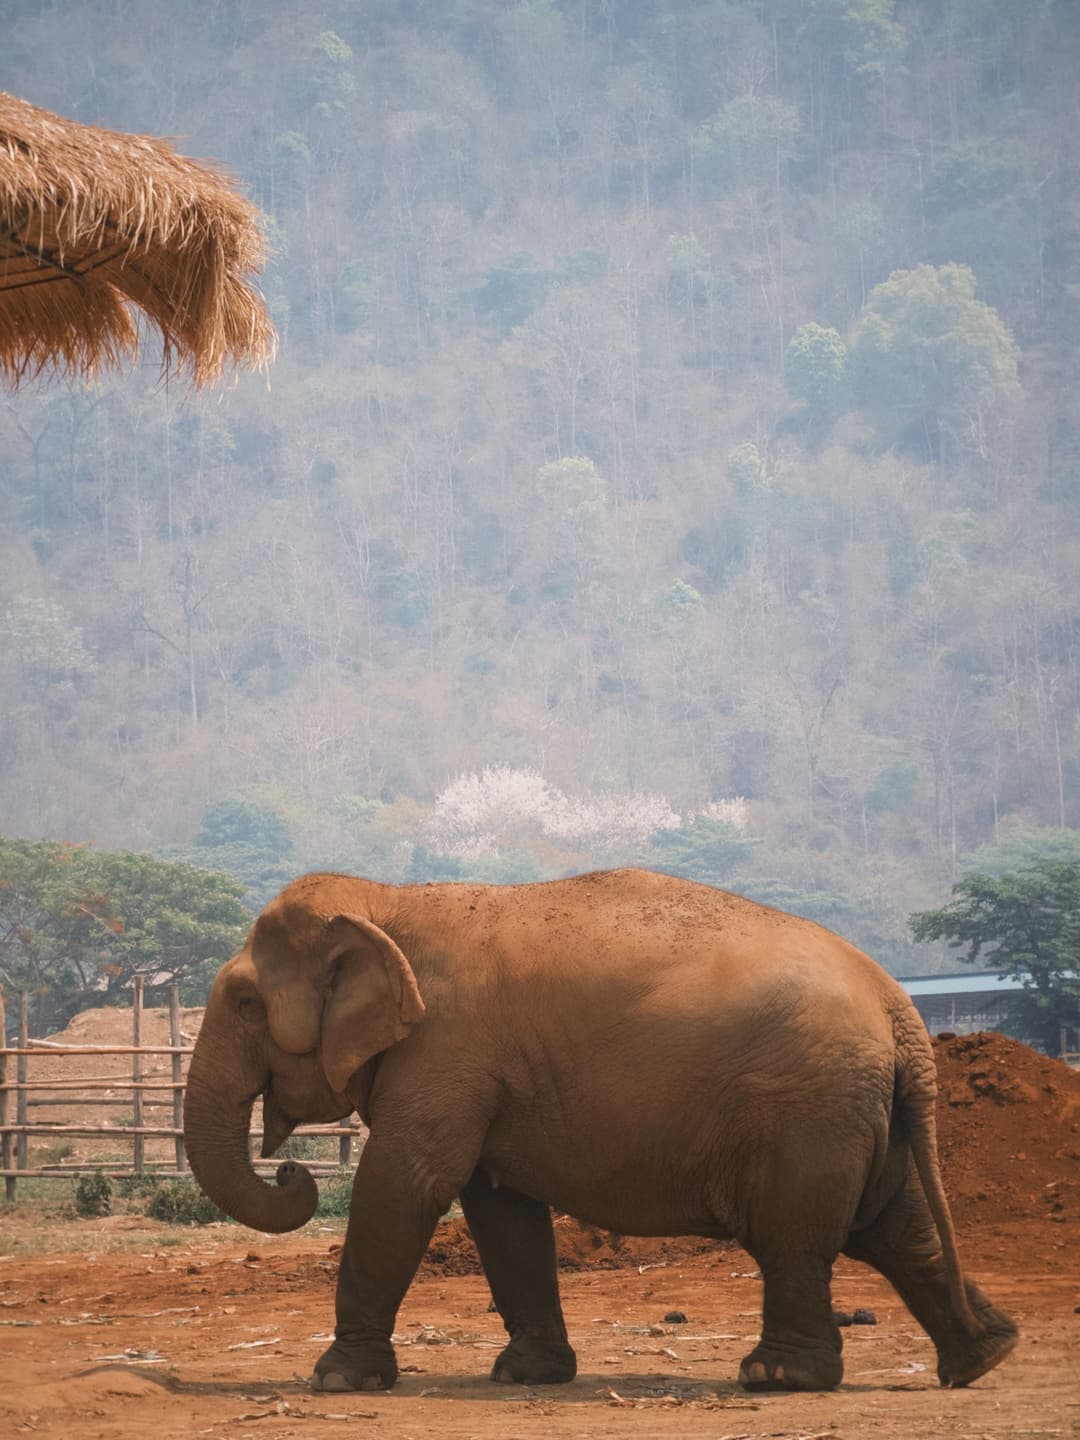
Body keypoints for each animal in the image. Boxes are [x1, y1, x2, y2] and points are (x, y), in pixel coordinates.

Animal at [183, 867, 1018, 1395]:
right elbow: (499, 1206)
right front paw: (527, 1375)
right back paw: (983, 1359)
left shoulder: (446, 1049)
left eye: (247, 1004)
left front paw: (337, 1381)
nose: (290, 1169)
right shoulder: (481, 1071)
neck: (386, 900)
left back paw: (777, 1379)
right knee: (896, 1227)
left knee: (798, 1237)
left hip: (807, 1113)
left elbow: (407, 1180)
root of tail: (899, 1007)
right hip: (858, 1109)